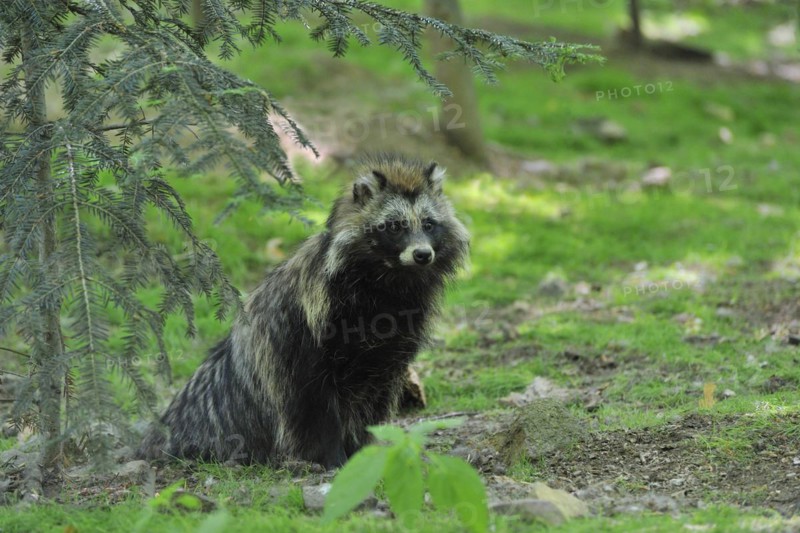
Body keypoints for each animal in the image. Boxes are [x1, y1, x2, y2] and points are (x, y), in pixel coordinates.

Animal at [137, 154, 470, 468]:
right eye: (395, 226)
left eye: (429, 224)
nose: (422, 254)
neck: (390, 279)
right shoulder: (306, 327)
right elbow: (310, 400)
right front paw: (330, 455)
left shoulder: (396, 338)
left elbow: (377, 392)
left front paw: (363, 448)